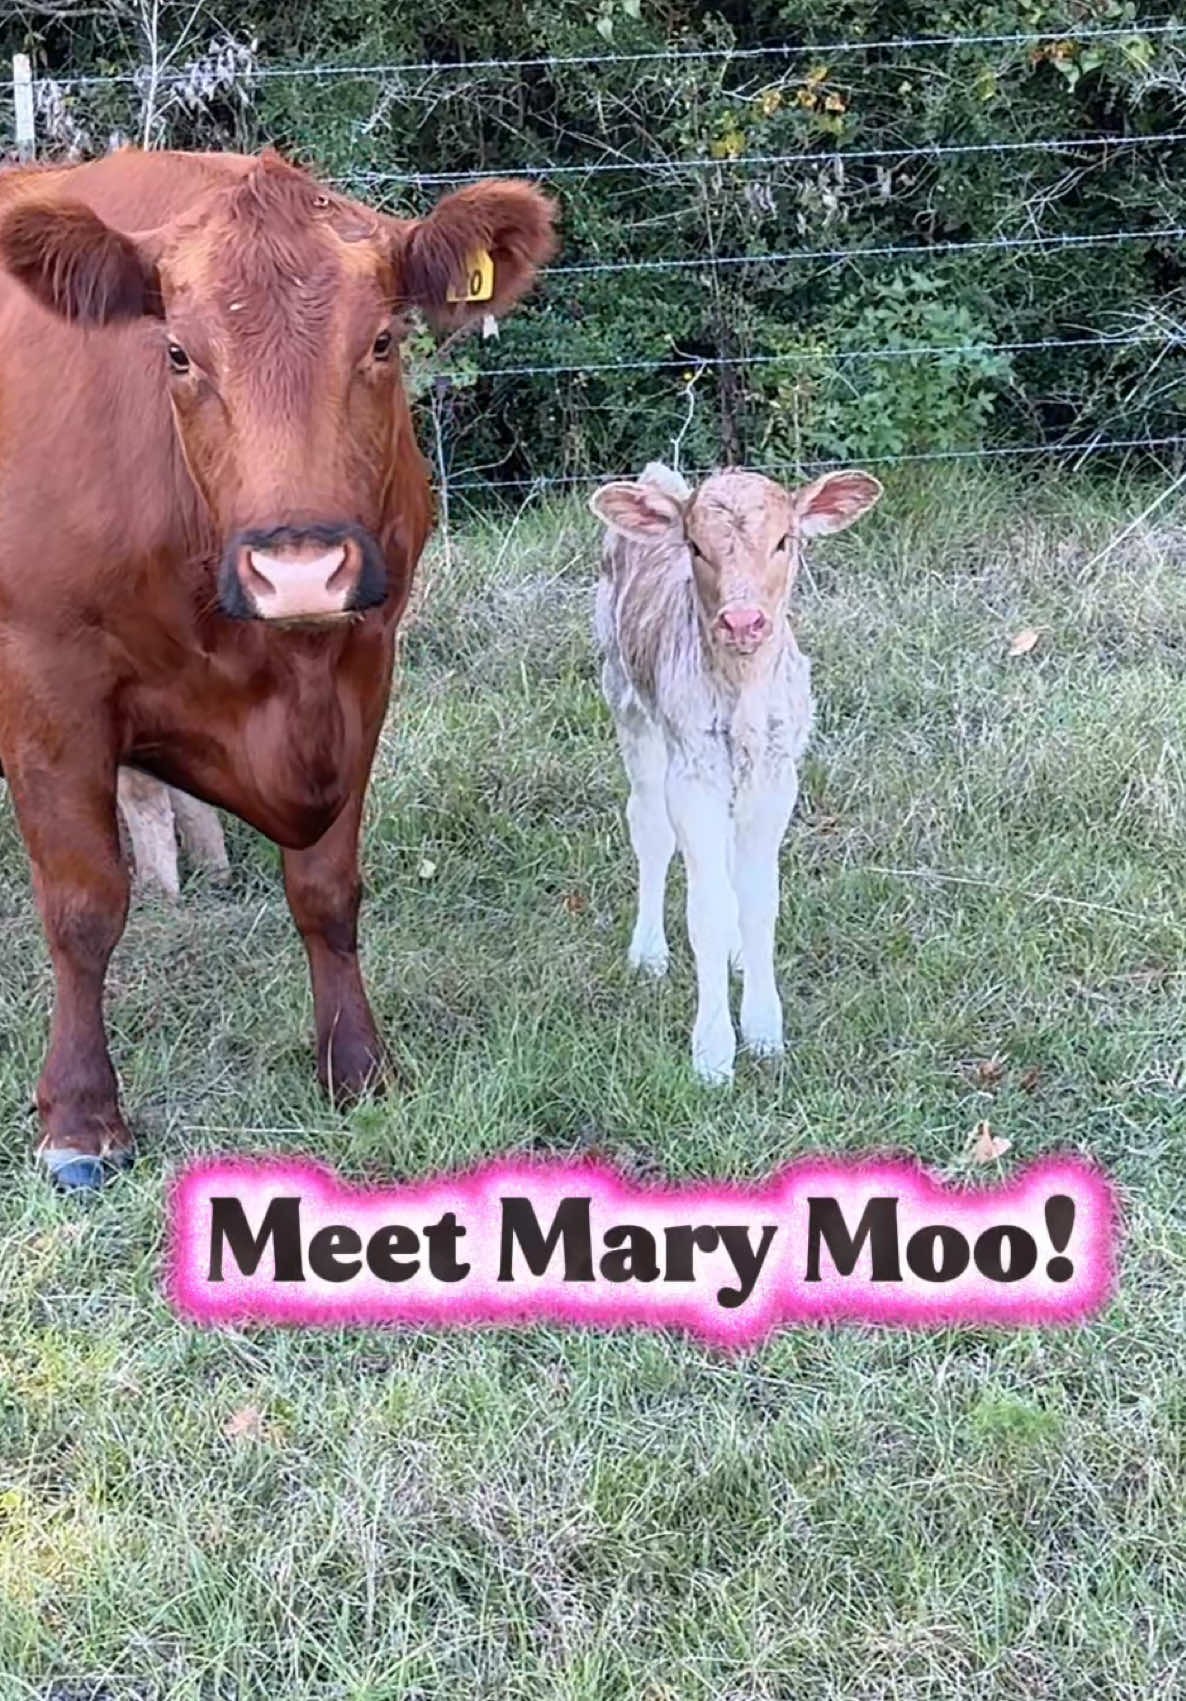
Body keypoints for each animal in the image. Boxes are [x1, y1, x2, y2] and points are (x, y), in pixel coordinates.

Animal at [0, 146, 556, 1189]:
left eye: (382, 341)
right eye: (178, 355)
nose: (298, 568)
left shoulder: (363, 665)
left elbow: (328, 890)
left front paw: (358, 1065)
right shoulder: (46, 684)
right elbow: (85, 904)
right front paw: (83, 1119)